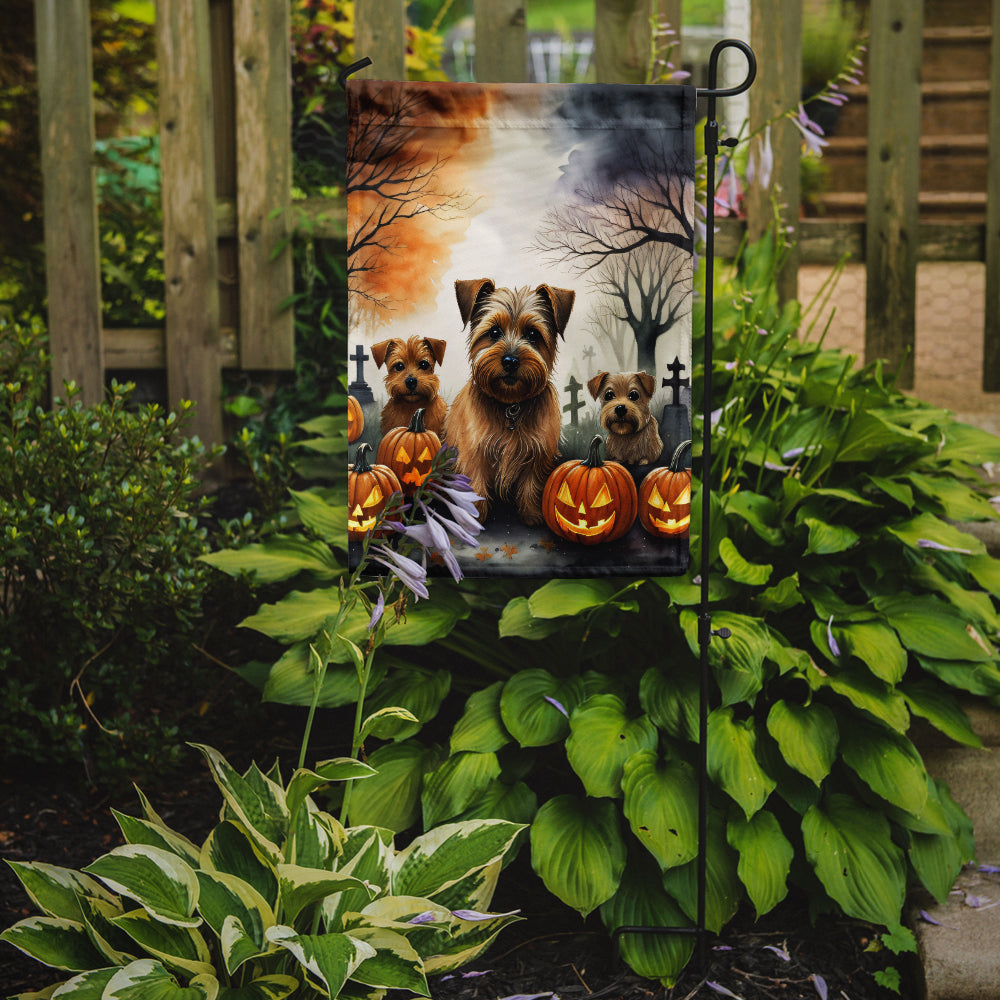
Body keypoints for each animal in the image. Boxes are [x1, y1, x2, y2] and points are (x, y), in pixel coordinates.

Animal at [444, 274, 576, 524]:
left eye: (533, 334)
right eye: (494, 332)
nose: (511, 360)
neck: (510, 405)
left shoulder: (538, 452)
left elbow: (531, 484)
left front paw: (533, 514)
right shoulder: (474, 452)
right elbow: (476, 483)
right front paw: (475, 517)